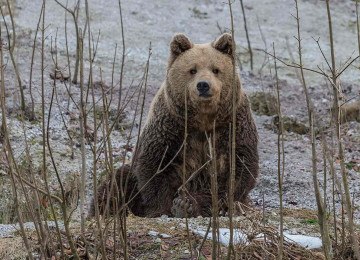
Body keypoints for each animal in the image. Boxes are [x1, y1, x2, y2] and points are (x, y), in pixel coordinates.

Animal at [90, 33, 258, 217]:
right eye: (192, 70)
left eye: (216, 69)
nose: (203, 85)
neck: (203, 120)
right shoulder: (171, 126)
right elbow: (155, 165)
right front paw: (163, 208)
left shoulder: (231, 125)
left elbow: (237, 170)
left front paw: (187, 204)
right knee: (117, 183)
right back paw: (105, 210)